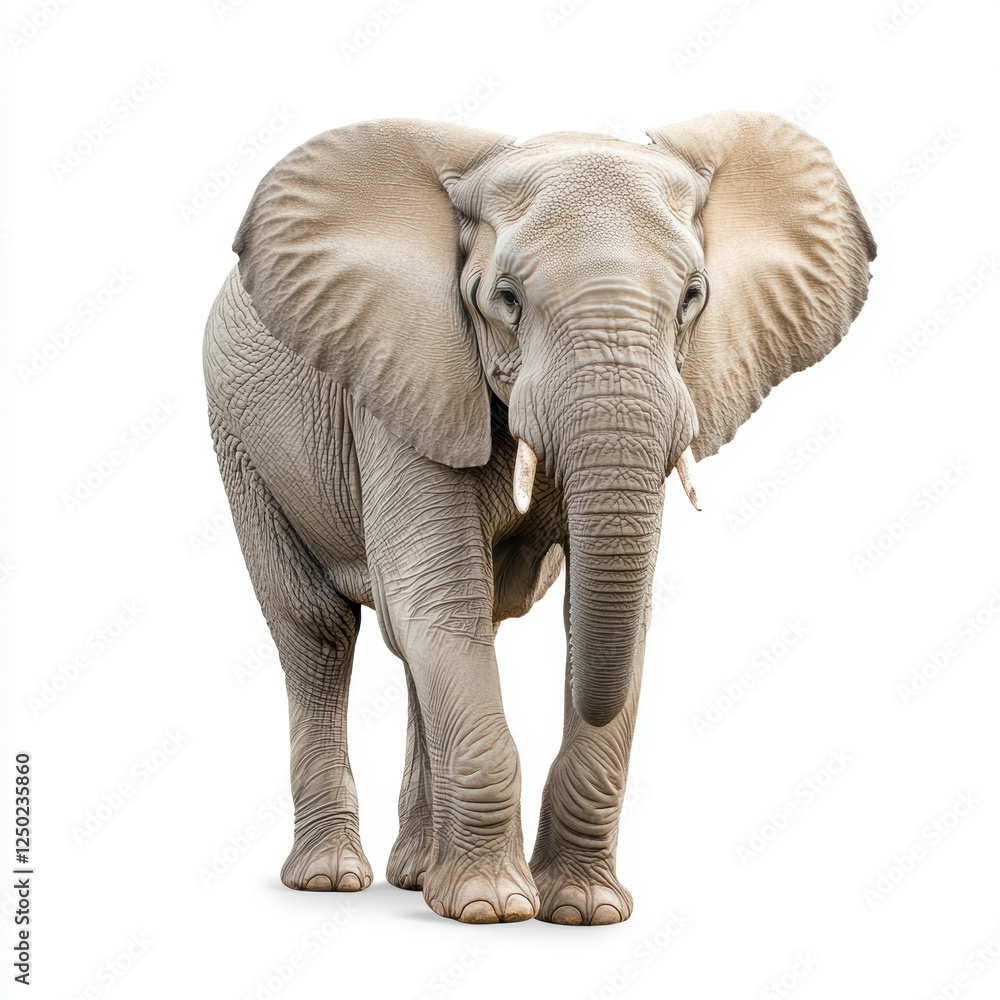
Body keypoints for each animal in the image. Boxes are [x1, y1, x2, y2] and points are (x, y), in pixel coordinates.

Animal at [203, 112, 875, 925]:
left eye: (693, 295)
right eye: (506, 298)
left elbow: (603, 620)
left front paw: (584, 911)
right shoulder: (404, 385)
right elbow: (437, 602)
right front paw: (490, 909)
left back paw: (416, 877)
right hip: (239, 442)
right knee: (320, 629)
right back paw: (332, 880)